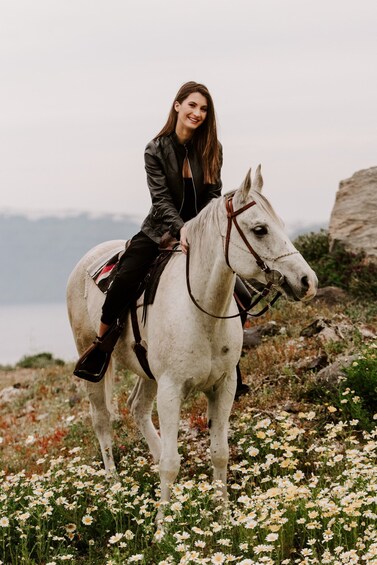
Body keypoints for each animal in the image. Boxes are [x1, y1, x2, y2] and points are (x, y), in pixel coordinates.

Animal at [66, 166, 316, 512]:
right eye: (260, 230)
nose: (307, 281)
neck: (201, 312)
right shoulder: (171, 390)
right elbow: (171, 464)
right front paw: (164, 521)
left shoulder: (223, 387)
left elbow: (220, 454)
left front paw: (223, 515)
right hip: (94, 363)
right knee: (102, 420)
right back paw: (114, 487)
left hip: (149, 374)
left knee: (137, 408)